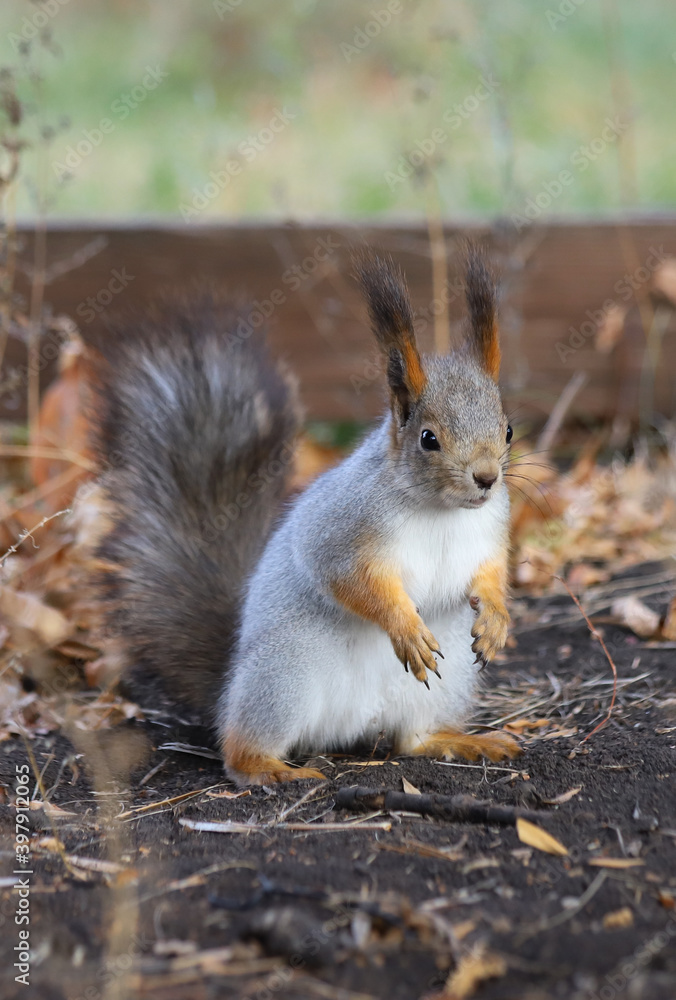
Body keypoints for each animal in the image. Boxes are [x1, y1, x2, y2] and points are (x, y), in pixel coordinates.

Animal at [88, 246, 519, 785]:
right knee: (240, 746)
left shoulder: (489, 533)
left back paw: (463, 741)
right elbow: (350, 579)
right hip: (285, 674)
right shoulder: (341, 529)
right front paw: (404, 626)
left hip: (443, 682)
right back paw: (273, 769)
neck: (444, 511)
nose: (486, 477)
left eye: (508, 429)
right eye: (428, 439)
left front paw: (497, 618)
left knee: (412, 740)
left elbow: (491, 573)